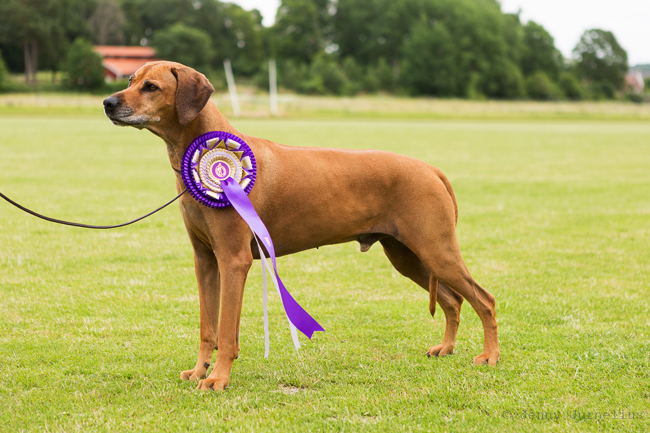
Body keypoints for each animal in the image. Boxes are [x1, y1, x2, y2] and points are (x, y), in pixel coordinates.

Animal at [102, 61, 496, 392]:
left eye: (151, 86)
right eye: (130, 80)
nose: (107, 102)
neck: (204, 147)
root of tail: (431, 169)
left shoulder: (233, 261)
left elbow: (226, 332)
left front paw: (218, 379)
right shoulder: (205, 260)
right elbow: (207, 327)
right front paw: (200, 371)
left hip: (436, 248)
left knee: (484, 299)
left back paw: (490, 355)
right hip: (407, 256)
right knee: (453, 300)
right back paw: (446, 348)